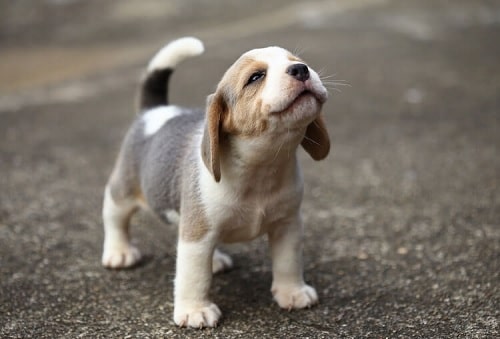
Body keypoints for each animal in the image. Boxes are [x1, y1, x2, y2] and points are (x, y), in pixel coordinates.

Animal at [101, 37, 330, 330]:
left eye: (297, 61)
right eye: (256, 77)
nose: (301, 70)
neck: (260, 167)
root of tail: (154, 111)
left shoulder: (287, 225)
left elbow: (289, 262)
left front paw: (293, 292)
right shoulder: (196, 236)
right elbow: (194, 276)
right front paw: (195, 310)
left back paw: (217, 260)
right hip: (123, 192)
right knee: (115, 218)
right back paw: (118, 252)